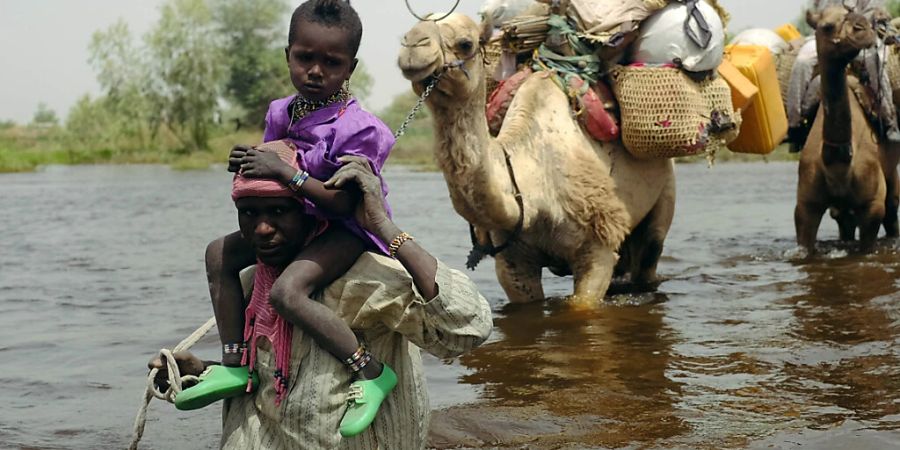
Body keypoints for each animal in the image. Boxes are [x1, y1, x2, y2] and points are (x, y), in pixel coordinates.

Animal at [396, 14, 676, 304]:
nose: (413, 44)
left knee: (650, 253)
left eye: (465, 43)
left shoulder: (597, 248)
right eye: (407, 34)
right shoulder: (512, 259)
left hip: (664, 191)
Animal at [796, 6, 900, 253]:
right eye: (826, 26)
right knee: (845, 221)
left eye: (851, 15)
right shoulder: (805, 206)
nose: (863, 29)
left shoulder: (872, 205)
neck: (838, 163)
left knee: (892, 211)